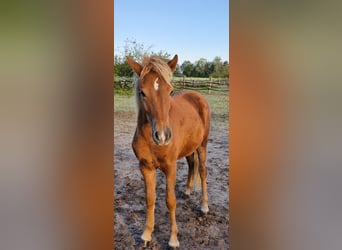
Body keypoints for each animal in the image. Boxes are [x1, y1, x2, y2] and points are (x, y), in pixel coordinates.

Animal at [126, 54, 210, 248]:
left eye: (170, 91)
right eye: (142, 92)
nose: (162, 136)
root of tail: (197, 96)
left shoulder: (170, 167)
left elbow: (170, 201)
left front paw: (173, 239)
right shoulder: (146, 168)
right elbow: (150, 199)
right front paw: (146, 234)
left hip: (202, 146)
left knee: (202, 171)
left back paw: (204, 206)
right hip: (189, 149)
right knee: (192, 165)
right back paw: (187, 190)